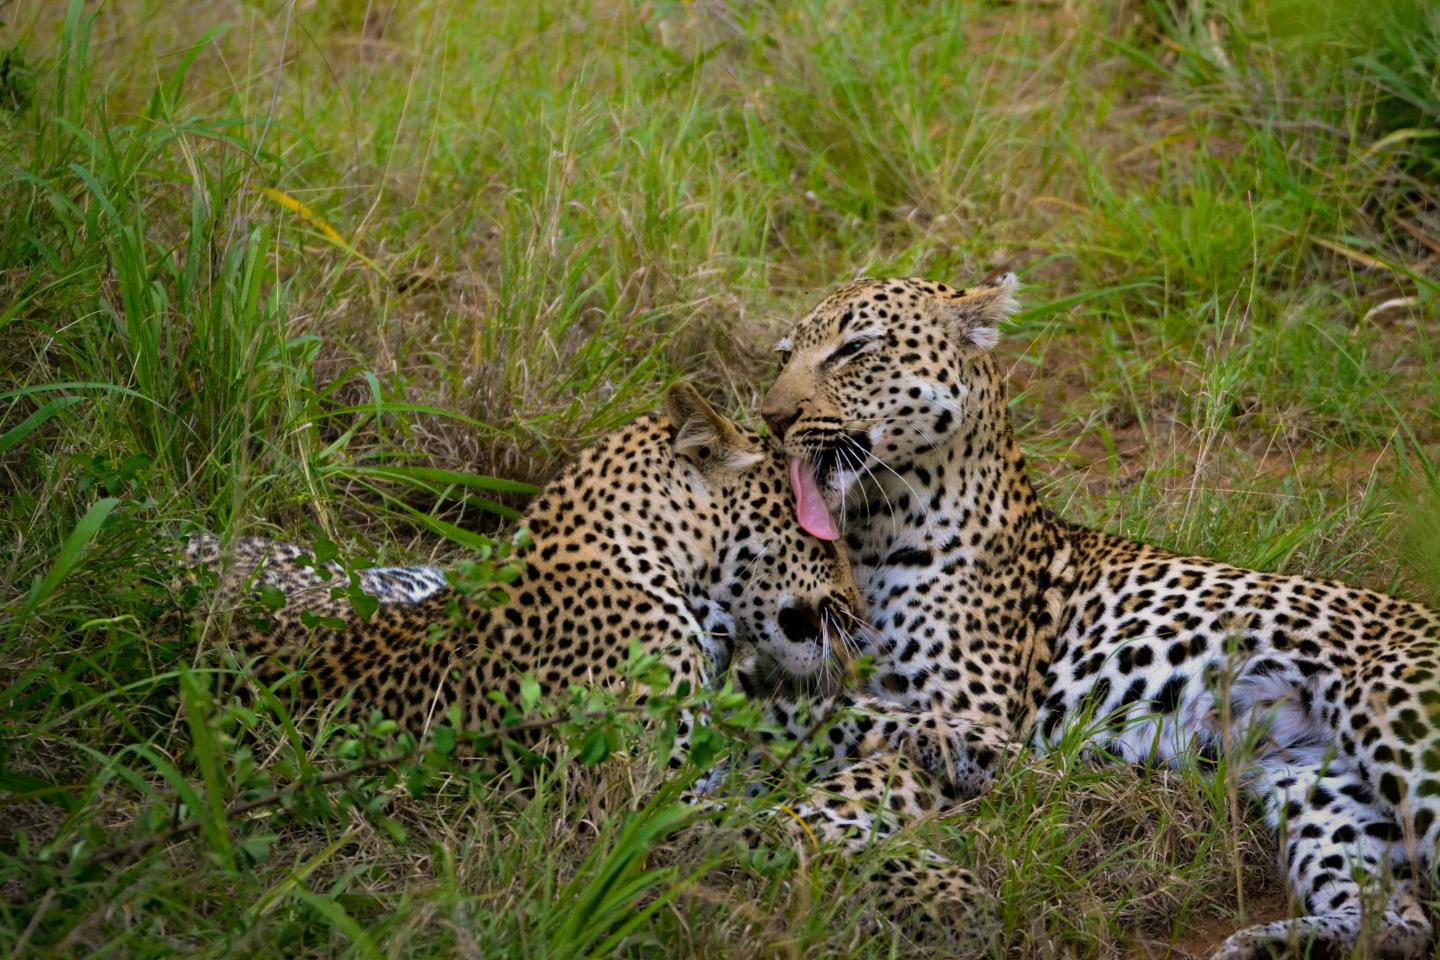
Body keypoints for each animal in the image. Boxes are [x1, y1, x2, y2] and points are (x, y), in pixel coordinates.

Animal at [760, 273, 1434, 960]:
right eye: (784, 357)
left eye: (854, 349)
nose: (772, 418)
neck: (873, 529)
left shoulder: (964, 704)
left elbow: (862, 777)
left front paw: (786, 826)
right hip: (1318, 786)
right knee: (1395, 919)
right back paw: (1258, 946)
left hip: (1392, 716)